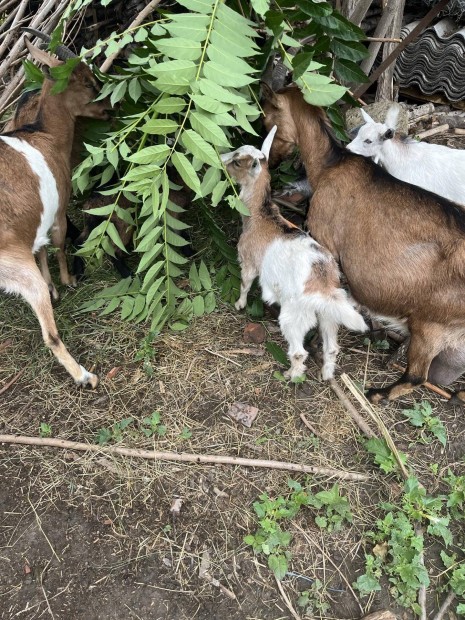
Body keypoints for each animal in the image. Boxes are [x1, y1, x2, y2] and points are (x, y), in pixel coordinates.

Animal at [262, 85, 464, 404]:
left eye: (268, 117)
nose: (270, 161)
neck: (330, 165)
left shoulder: (326, 241)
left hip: (432, 323)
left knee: (417, 376)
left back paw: (376, 394)